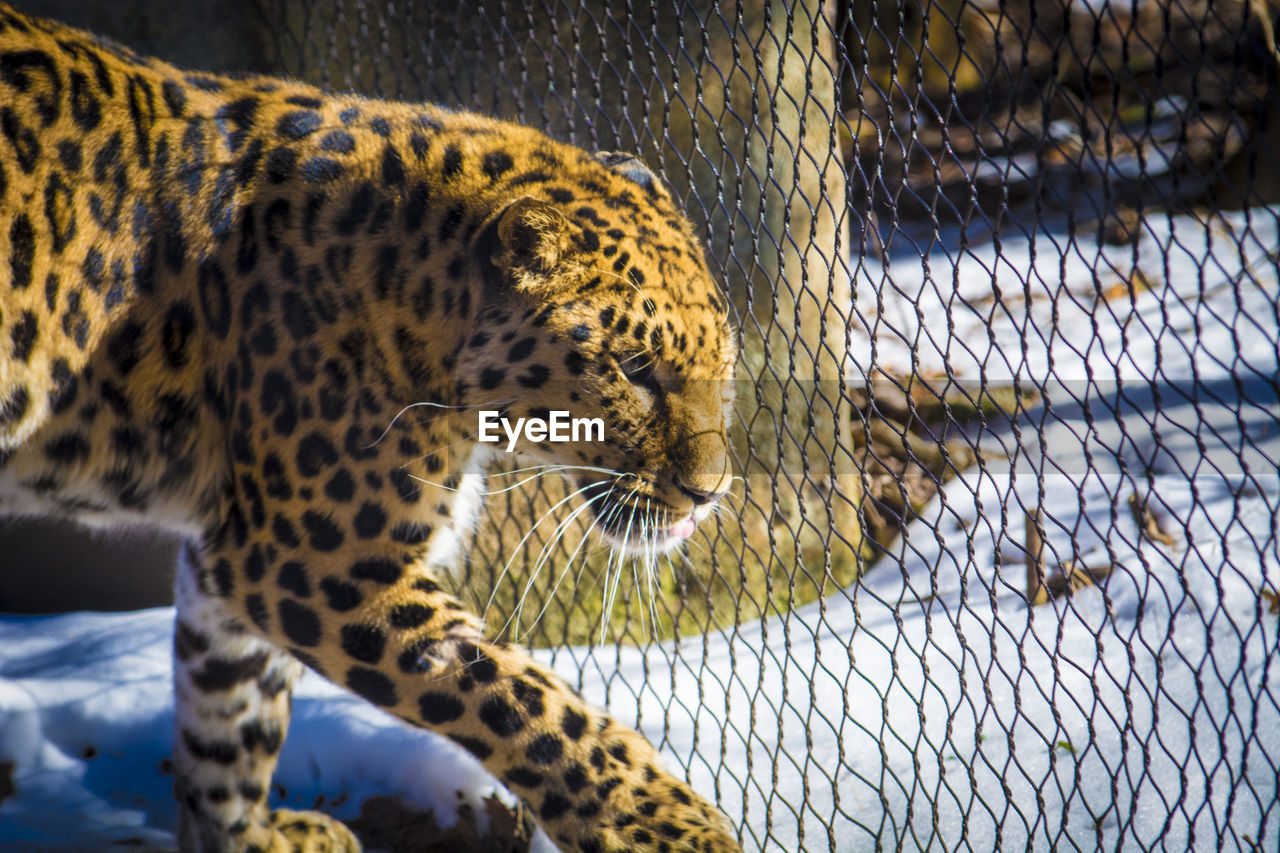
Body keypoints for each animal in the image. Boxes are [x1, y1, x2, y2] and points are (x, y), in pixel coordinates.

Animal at [0, 6, 742, 850]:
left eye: (725, 364)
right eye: (636, 368)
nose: (709, 493)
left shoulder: (236, 555)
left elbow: (230, 710)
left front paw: (245, 837)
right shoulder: (316, 559)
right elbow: (518, 693)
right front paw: (663, 822)